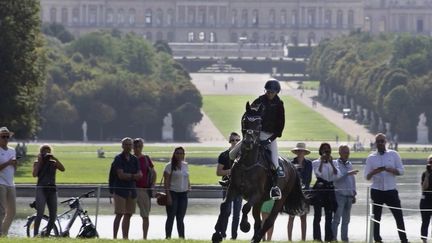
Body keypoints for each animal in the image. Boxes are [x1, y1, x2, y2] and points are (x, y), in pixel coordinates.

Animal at [211, 101, 306, 242]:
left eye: (259, 123)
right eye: (245, 121)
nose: (248, 142)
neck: (248, 163)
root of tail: (292, 166)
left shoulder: (256, 193)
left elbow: (245, 208)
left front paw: (245, 226)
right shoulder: (233, 189)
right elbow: (224, 207)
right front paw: (217, 234)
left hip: (278, 200)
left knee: (269, 220)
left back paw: (255, 237)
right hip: (260, 200)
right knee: (258, 219)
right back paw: (255, 237)